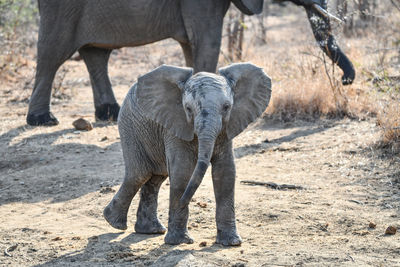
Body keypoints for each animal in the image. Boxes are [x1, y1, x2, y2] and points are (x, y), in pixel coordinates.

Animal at [26, 0, 354, 126]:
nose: (346, 80)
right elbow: (208, 43)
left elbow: (192, 47)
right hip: (62, 7)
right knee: (52, 54)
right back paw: (43, 120)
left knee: (96, 53)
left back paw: (109, 114)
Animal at [103, 63, 272, 247]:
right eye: (188, 109)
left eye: (227, 107)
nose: (185, 201)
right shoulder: (175, 125)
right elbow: (182, 172)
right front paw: (179, 241)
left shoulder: (227, 128)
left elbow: (225, 172)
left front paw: (232, 243)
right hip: (130, 127)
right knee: (139, 174)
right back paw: (114, 222)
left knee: (155, 178)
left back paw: (150, 230)